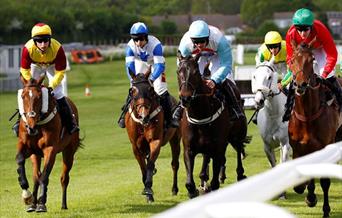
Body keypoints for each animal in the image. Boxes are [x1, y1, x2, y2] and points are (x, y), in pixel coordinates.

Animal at [15, 74, 81, 211]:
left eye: (39, 96)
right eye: (23, 96)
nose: (30, 127)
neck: (38, 124)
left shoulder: (50, 149)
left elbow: (45, 175)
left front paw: (41, 203)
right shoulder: (26, 146)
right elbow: (20, 160)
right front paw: (27, 196)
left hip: (69, 152)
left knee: (64, 178)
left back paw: (63, 205)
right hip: (35, 155)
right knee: (36, 176)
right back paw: (32, 203)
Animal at [123, 67, 182, 202]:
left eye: (150, 89)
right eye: (132, 91)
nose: (143, 115)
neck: (142, 123)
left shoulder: (155, 141)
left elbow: (149, 165)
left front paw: (148, 189)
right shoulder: (136, 146)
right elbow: (143, 167)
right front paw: (148, 193)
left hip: (175, 139)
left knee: (175, 164)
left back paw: (174, 189)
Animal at [176, 53, 248, 198]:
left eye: (195, 72)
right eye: (178, 71)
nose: (185, 98)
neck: (201, 115)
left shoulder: (218, 148)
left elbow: (215, 183)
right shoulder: (189, 149)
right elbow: (189, 183)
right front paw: (194, 190)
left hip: (237, 135)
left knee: (239, 150)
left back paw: (240, 174)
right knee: (206, 159)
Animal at [288, 40, 342, 217]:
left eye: (311, 60)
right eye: (292, 60)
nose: (300, 85)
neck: (308, 115)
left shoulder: (326, 146)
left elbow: (325, 181)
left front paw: (325, 209)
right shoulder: (298, 147)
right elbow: (299, 185)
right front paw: (310, 196)